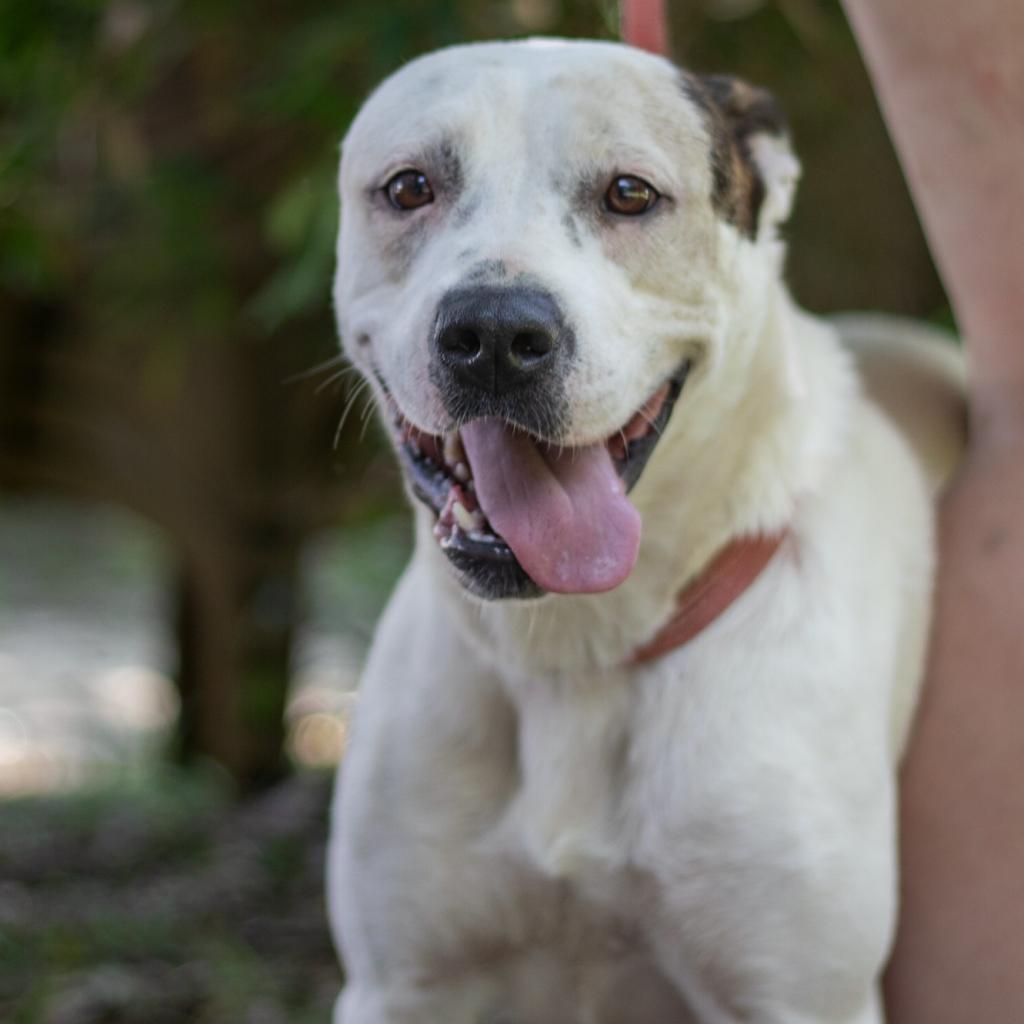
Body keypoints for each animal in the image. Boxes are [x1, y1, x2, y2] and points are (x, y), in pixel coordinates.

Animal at [323, 36, 962, 1019]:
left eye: (629, 193)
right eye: (408, 187)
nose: (496, 333)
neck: (577, 650)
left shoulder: (801, 994)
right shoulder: (401, 986)